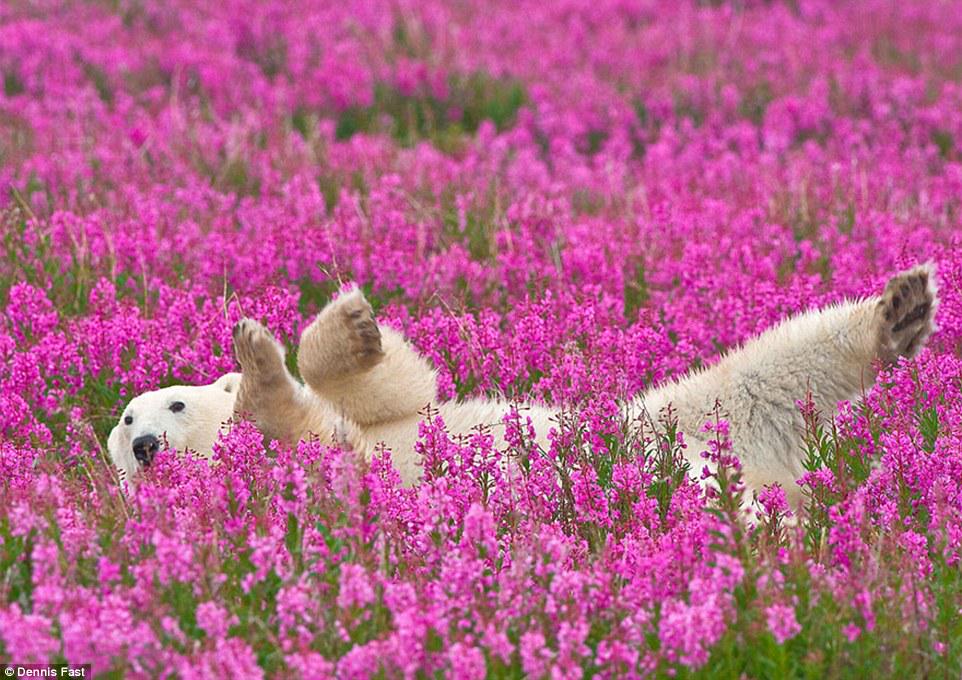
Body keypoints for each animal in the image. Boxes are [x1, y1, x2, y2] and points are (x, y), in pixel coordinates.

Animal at [107, 266, 936, 504]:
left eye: (168, 402)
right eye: (124, 423)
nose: (145, 444)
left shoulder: (377, 421)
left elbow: (400, 389)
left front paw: (337, 327)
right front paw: (259, 369)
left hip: (675, 415)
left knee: (772, 365)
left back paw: (900, 309)